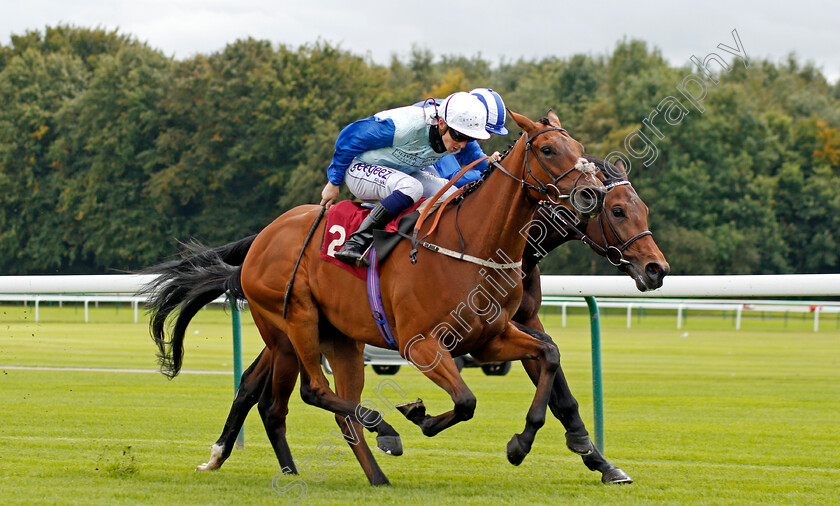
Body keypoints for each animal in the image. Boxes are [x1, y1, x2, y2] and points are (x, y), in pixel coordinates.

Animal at [144, 108, 604, 484]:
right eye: (547, 149)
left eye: (580, 148)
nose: (592, 193)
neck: (471, 245)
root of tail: (262, 239)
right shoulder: (420, 344)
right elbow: (466, 401)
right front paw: (419, 416)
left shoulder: (489, 338)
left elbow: (548, 355)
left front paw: (521, 443)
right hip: (294, 322)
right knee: (311, 392)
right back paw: (383, 433)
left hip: (338, 338)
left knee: (332, 408)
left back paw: (375, 475)